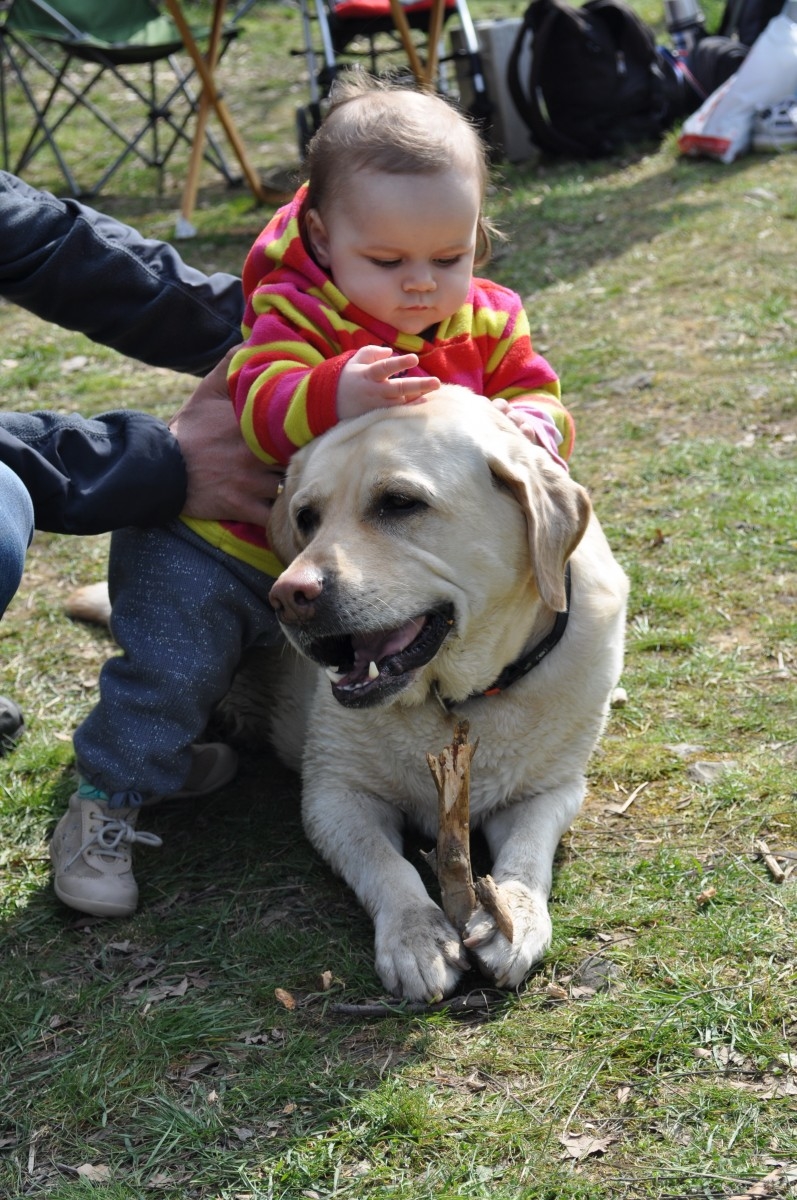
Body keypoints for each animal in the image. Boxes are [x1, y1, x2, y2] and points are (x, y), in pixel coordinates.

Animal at [255, 386, 628, 1003]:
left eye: (400, 503)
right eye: (306, 518)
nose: (287, 596)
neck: (457, 700)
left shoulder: (553, 791)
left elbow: (529, 857)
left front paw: (515, 916)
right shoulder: (335, 796)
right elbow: (389, 866)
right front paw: (417, 936)